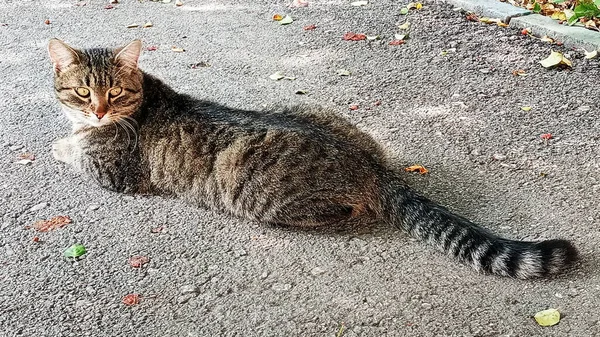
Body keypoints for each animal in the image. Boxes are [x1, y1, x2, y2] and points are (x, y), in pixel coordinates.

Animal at [48, 38, 576, 278]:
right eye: (83, 91)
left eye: (114, 92)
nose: (98, 111)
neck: (143, 99)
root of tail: (373, 168)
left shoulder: (112, 172)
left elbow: (70, 149)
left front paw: (61, 143)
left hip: (264, 198)